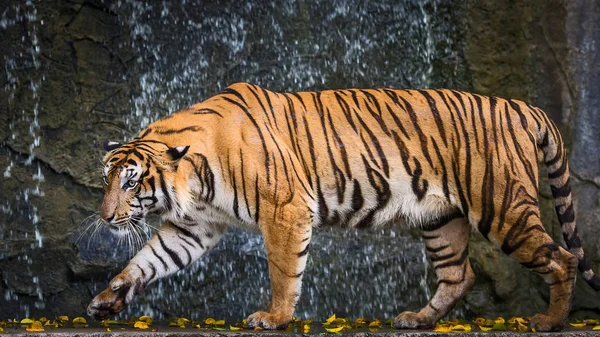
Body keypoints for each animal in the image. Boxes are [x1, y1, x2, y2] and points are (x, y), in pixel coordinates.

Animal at [86, 82, 596, 330]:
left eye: (132, 182)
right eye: (107, 179)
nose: (107, 216)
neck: (195, 178)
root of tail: (519, 106)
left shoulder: (285, 211)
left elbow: (283, 271)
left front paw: (274, 318)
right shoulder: (194, 227)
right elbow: (148, 260)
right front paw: (107, 299)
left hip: (502, 207)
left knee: (562, 258)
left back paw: (550, 322)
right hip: (441, 219)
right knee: (459, 275)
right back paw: (417, 320)